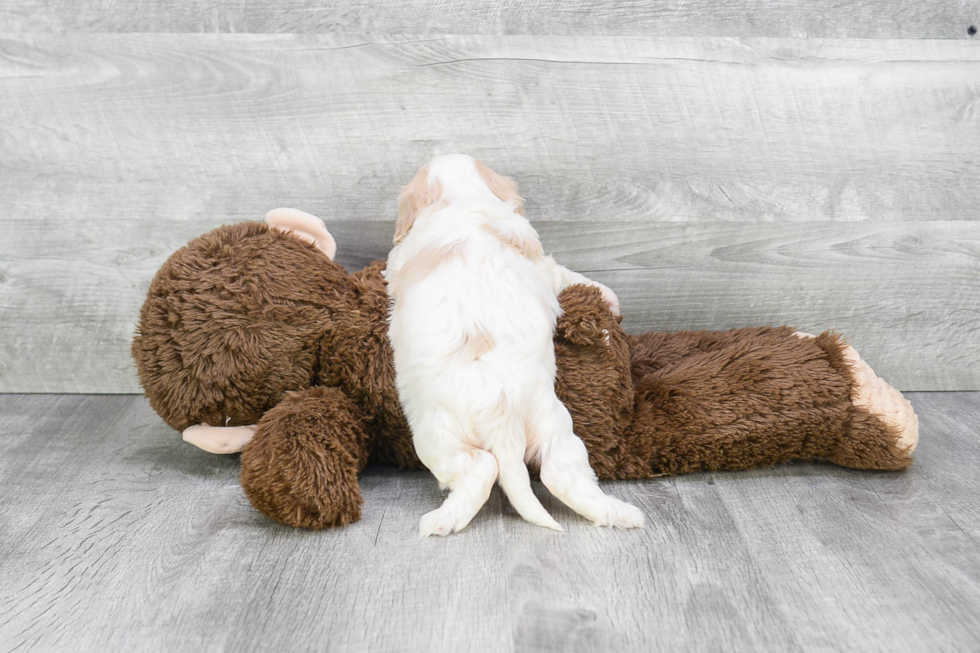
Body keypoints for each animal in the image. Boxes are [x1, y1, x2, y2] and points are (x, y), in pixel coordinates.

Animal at [386, 153, 648, 536]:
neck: (463, 198)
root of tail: (503, 417)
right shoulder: (543, 264)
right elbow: (565, 273)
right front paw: (610, 299)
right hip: (555, 426)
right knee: (561, 474)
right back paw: (621, 513)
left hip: (435, 438)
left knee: (481, 469)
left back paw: (442, 520)